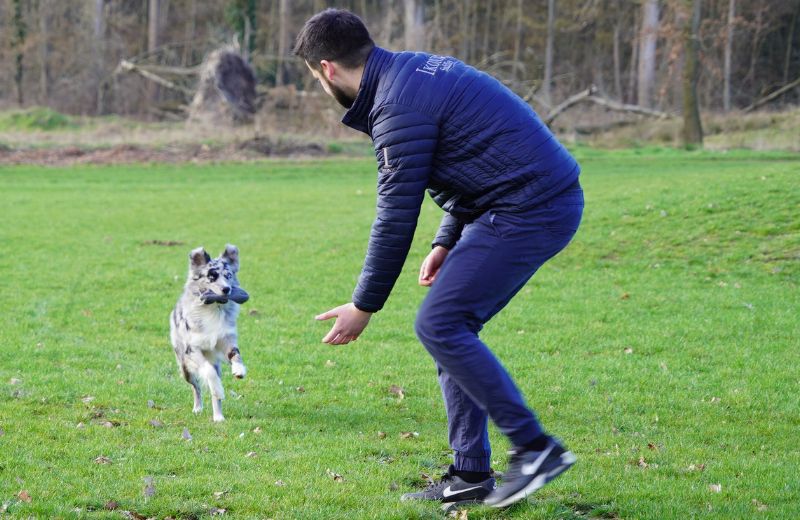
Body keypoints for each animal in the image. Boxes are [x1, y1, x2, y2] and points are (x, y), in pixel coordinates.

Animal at [171, 245, 250, 422]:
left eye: (228, 275)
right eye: (211, 277)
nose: (226, 289)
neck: (214, 308)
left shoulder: (226, 339)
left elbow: (236, 354)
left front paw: (239, 369)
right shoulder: (192, 349)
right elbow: (208, 371)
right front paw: (219, 389)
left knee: (214, 395)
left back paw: (218, 417)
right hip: (185, 368)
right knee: (196, 387)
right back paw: (198, 407)